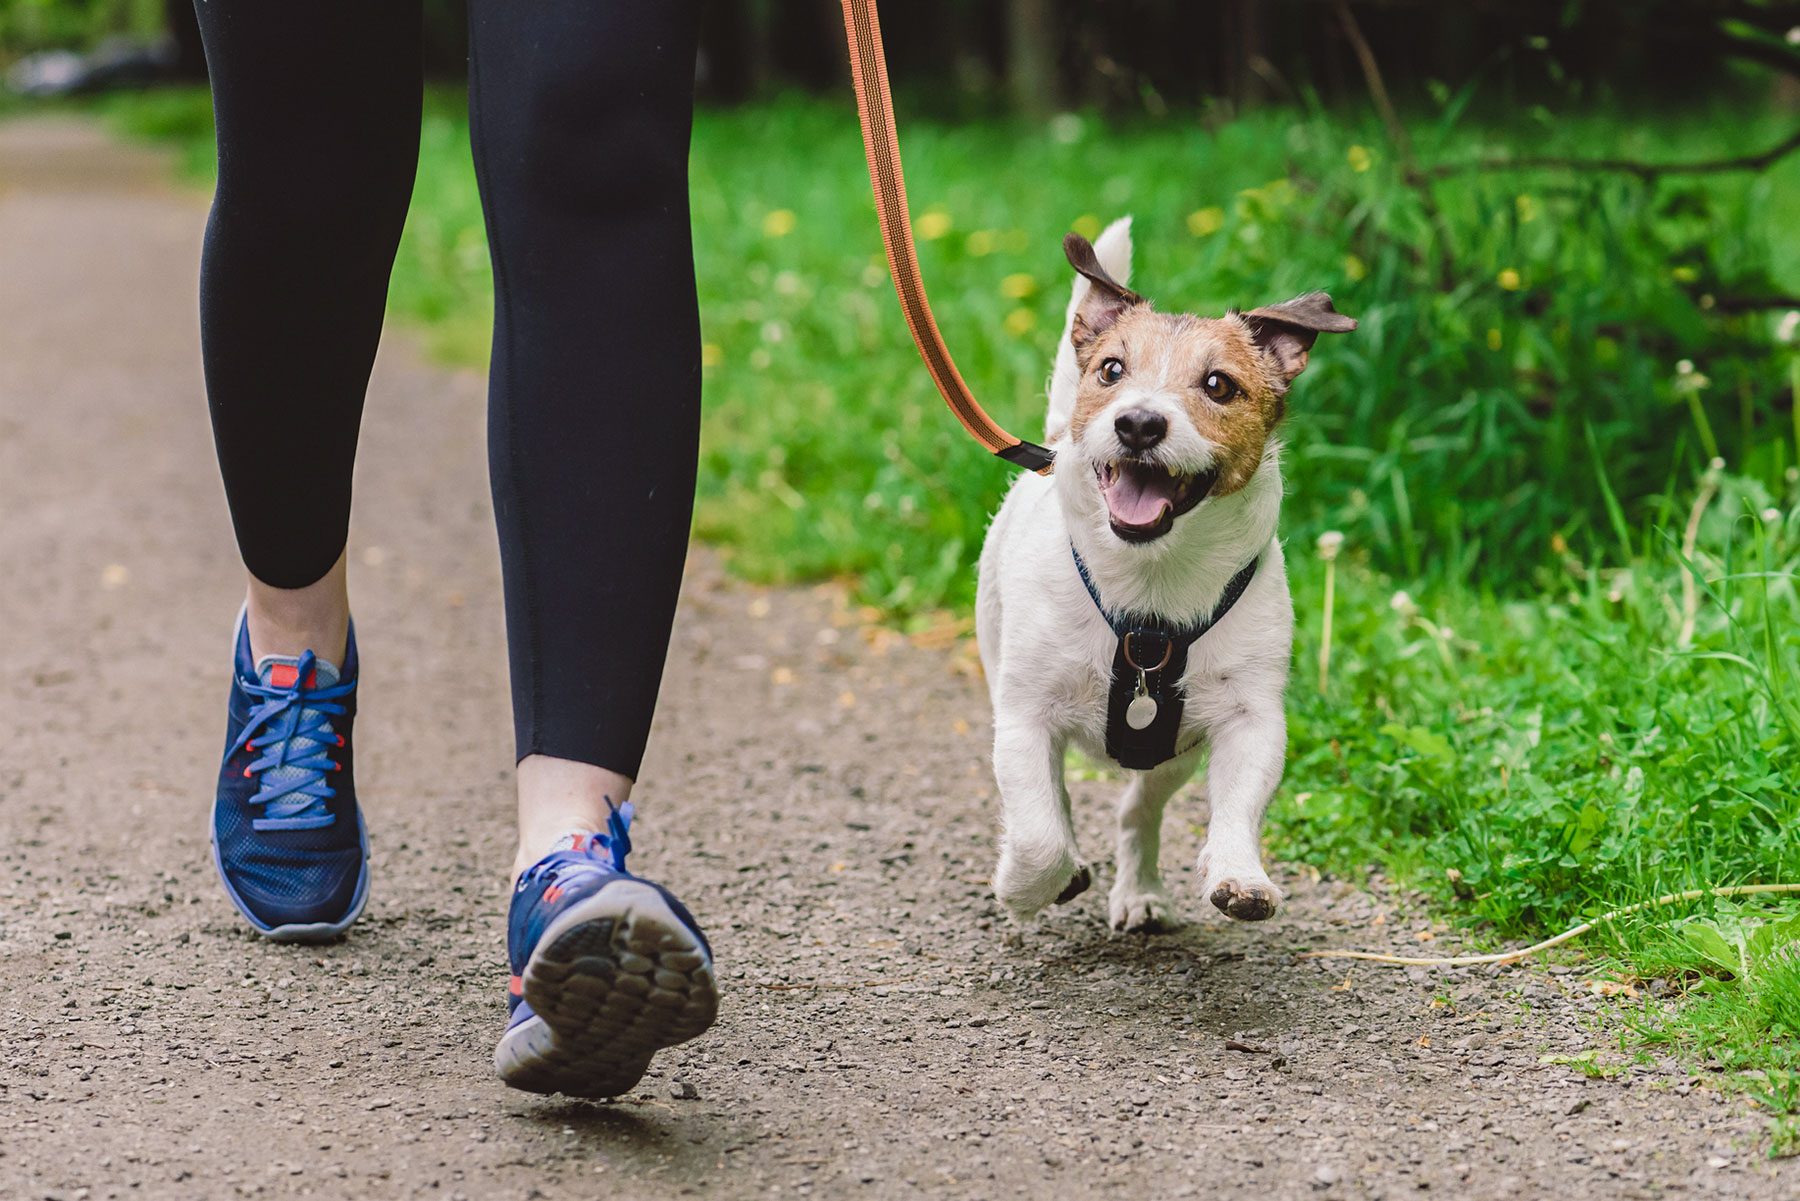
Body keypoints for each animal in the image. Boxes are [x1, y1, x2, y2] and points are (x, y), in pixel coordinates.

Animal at [986, 220, 1353, 936]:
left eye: (1218, 385)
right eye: (1111, 370)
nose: (1138, 422)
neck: (1149, 591)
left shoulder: (1249, 718)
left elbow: (1238, 805)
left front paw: (1239, 875)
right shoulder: (1022, 717)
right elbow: (1040, 833)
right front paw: (1024, 887)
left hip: (1170, 756)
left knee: (1138, 810)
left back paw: (1141, 891)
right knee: (1055, 804)